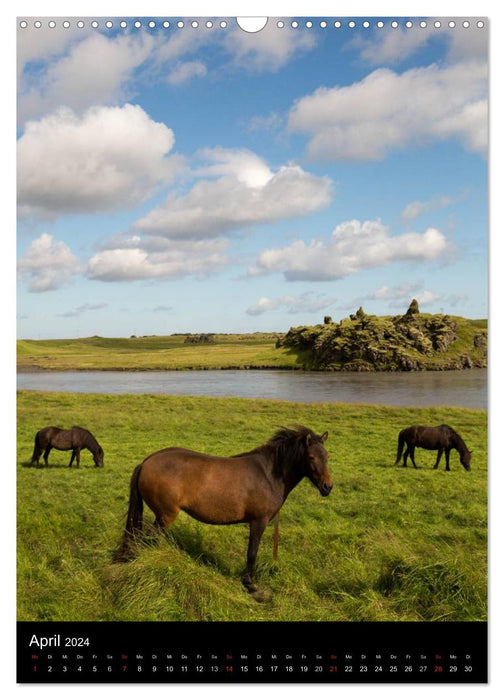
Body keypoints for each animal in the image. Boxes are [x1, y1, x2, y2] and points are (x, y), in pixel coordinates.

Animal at [116, 426, 332, 592]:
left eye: (327, 456)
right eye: (311, 457)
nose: (327, 487)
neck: (269, 474)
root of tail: (146, 462)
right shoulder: (258, 522)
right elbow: (252, 552)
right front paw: (250, 584)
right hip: (165, 516)